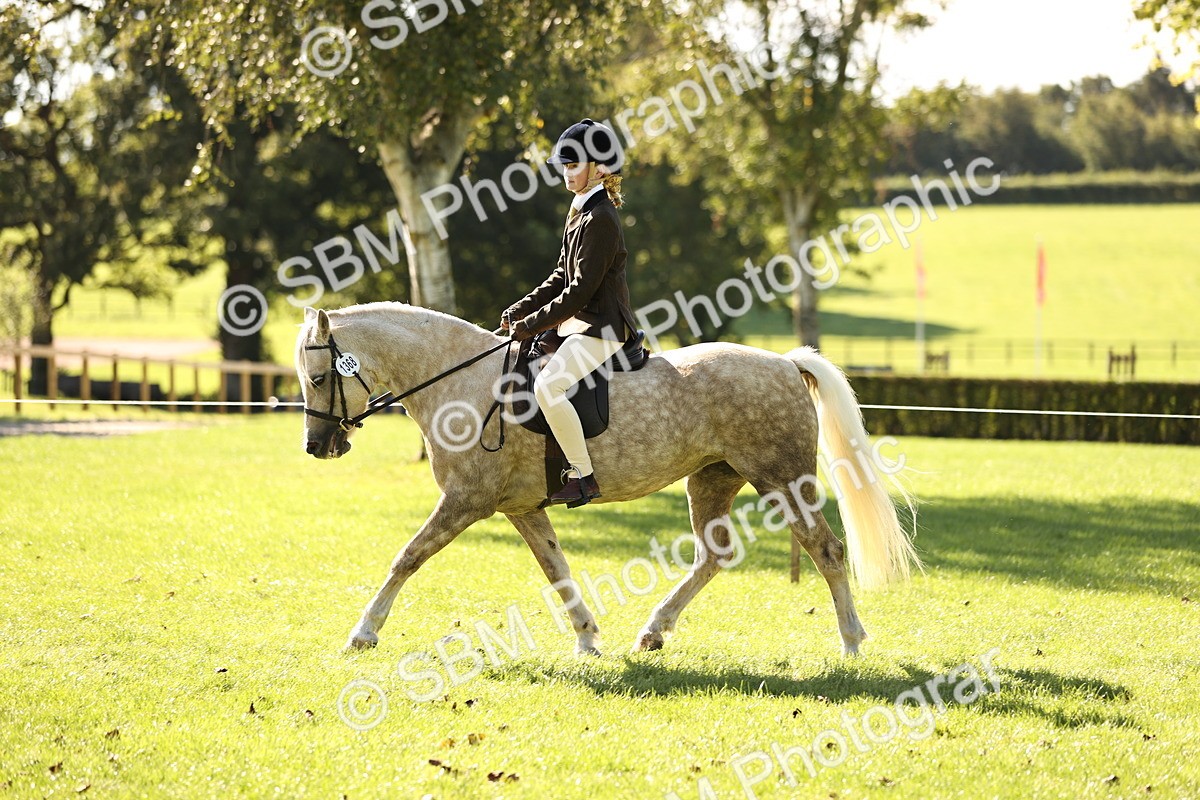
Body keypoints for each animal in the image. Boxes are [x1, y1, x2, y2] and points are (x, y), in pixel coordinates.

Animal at [295, 302, 920, 657]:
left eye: (319, 376)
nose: (318, 446)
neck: (463, 381)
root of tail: (787, 363)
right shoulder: (521, 508)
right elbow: (558, 571)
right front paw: (588, 637)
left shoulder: (466, 501)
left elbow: (407, 557)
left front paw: (364, 633)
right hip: (712, 479)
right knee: (714, 556)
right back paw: (653, 632)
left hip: (782, 481)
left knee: (826, 550)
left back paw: (852, 643)